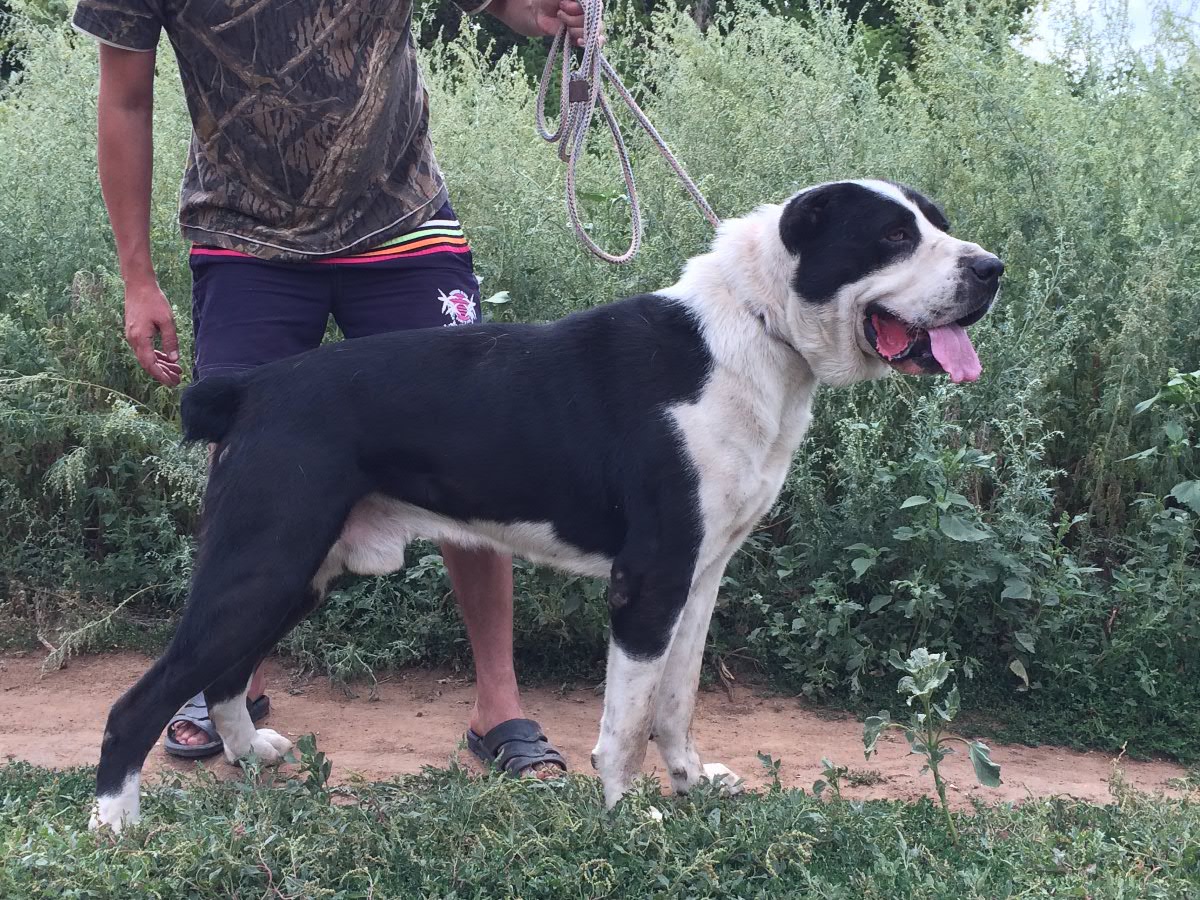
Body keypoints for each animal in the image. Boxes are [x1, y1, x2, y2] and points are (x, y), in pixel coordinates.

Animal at [87, 177, 1003, 830]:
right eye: (892, 237)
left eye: (937, 222)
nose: (991, 269)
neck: (756, 329)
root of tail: (252, 388)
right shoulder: (648, 581)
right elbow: (625, 723)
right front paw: (628, 819)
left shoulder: (702, 578)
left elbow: (676, 703)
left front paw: (690, 784)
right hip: (264, 564)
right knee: (140, 700)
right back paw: (113, 826)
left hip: (297, 573)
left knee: (226, 672)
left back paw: (250, 758)